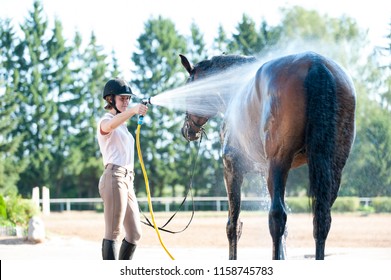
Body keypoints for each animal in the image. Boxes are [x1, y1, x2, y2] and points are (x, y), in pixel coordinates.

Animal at [179, 51, 356, 260]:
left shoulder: (232, 168)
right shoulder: (266, 172)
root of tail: (316, 63)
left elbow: (233, 225)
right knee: (321, 219)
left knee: (277, 217)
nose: (187, 130)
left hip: (279, 162)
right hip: (331, 167)